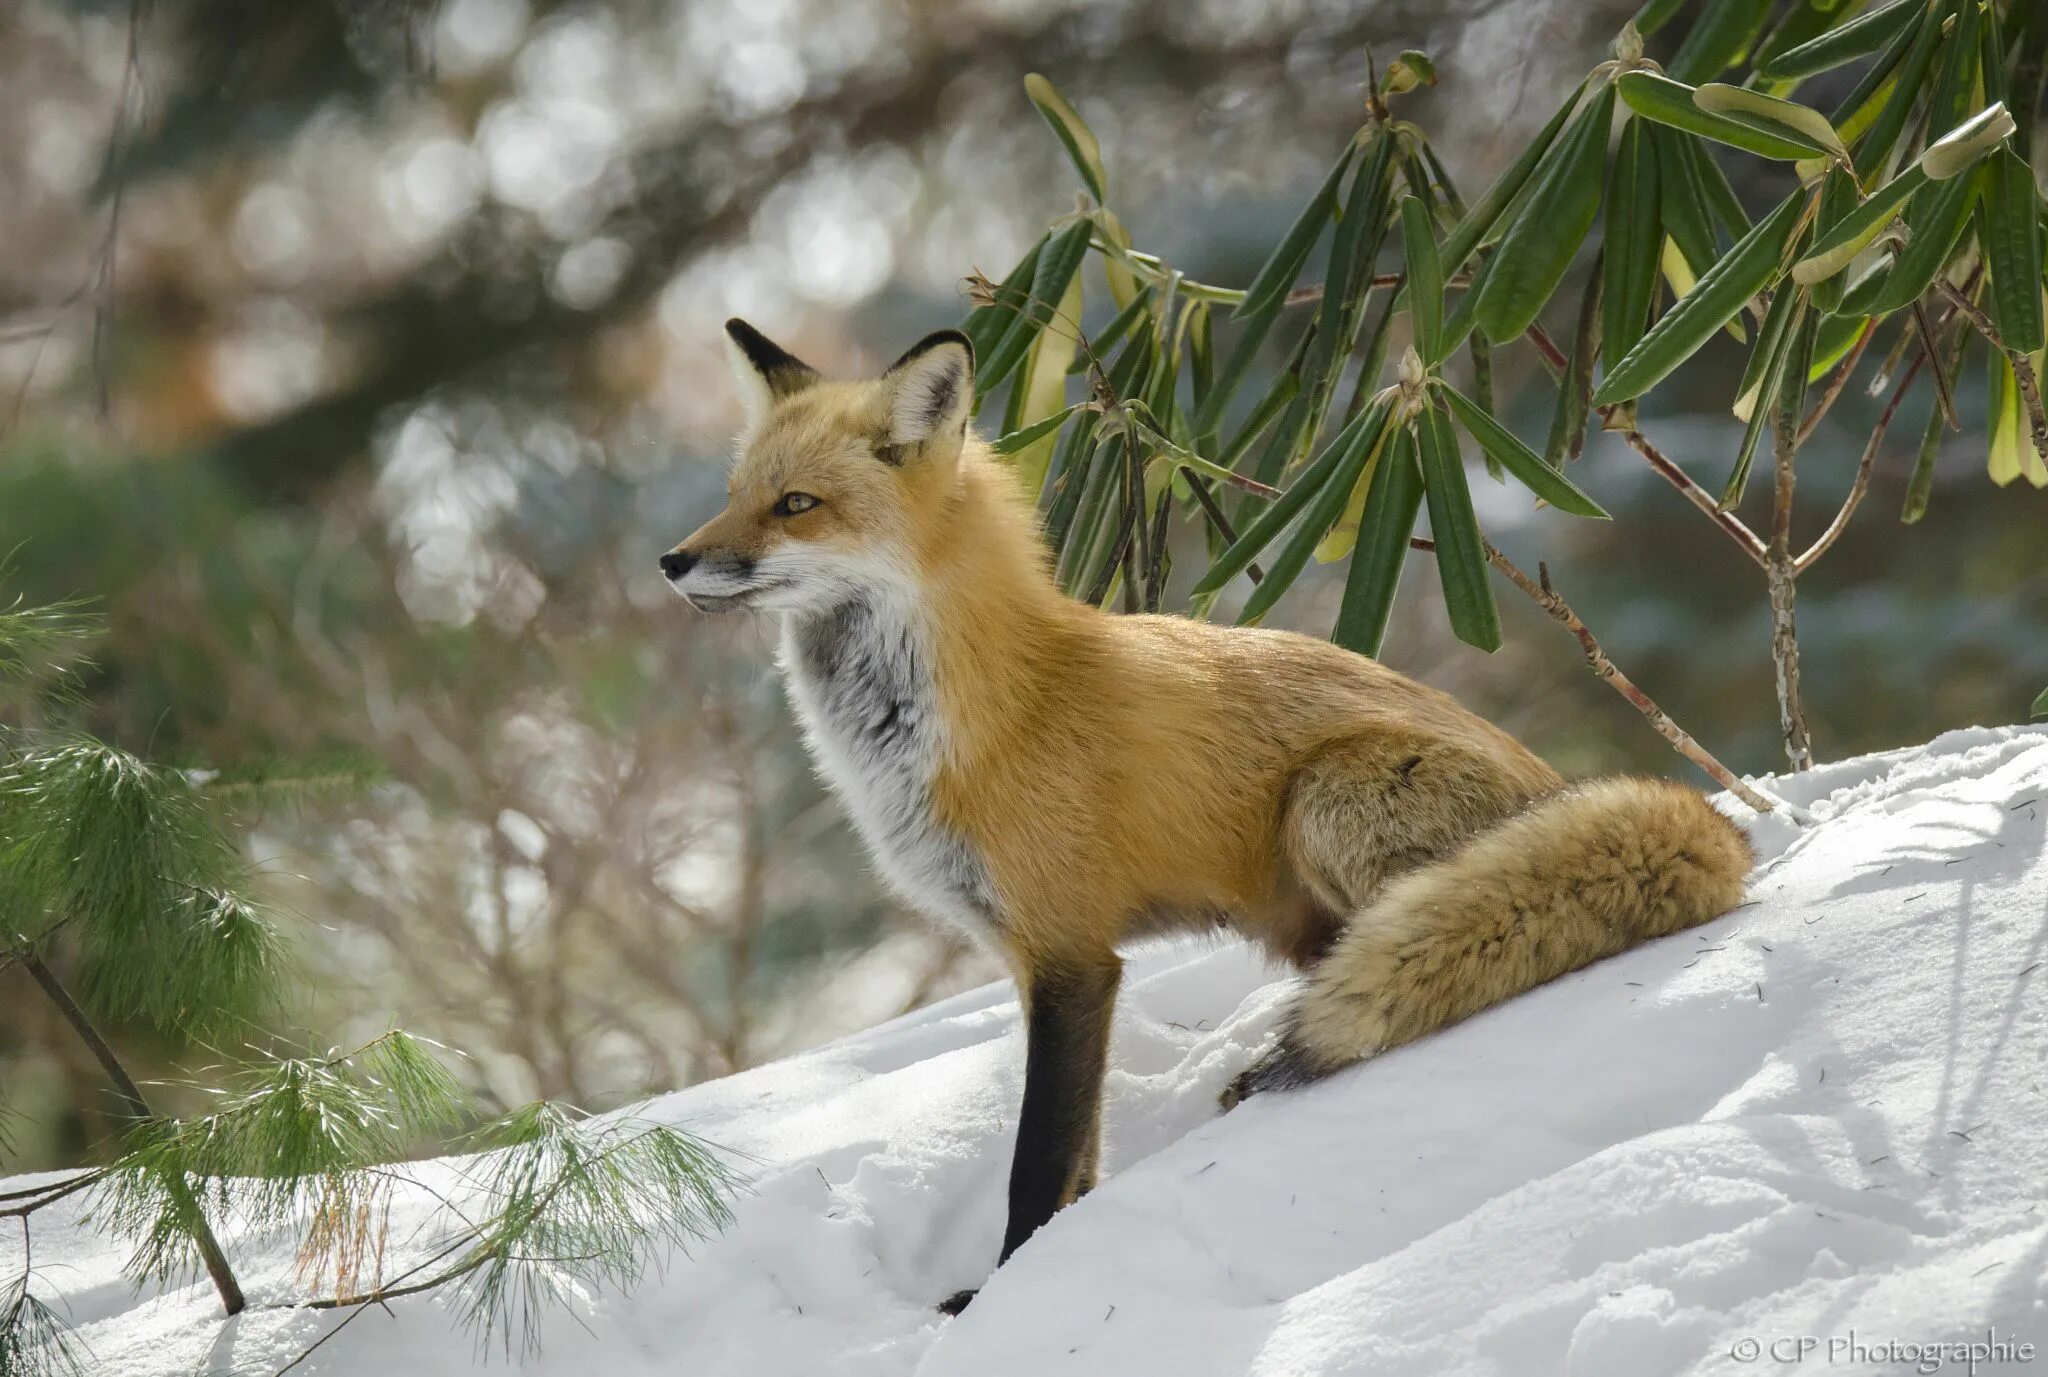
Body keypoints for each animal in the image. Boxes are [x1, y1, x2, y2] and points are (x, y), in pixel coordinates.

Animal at [663, 317, 1753, 1303]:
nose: (671, 561)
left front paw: (1006, 1296)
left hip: (1325, 800)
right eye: (733, 495)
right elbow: (1080, 1153)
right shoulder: (1040, 964)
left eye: (795, 505)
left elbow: (1036, 1161)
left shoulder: (1071, 955)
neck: (971, 717)